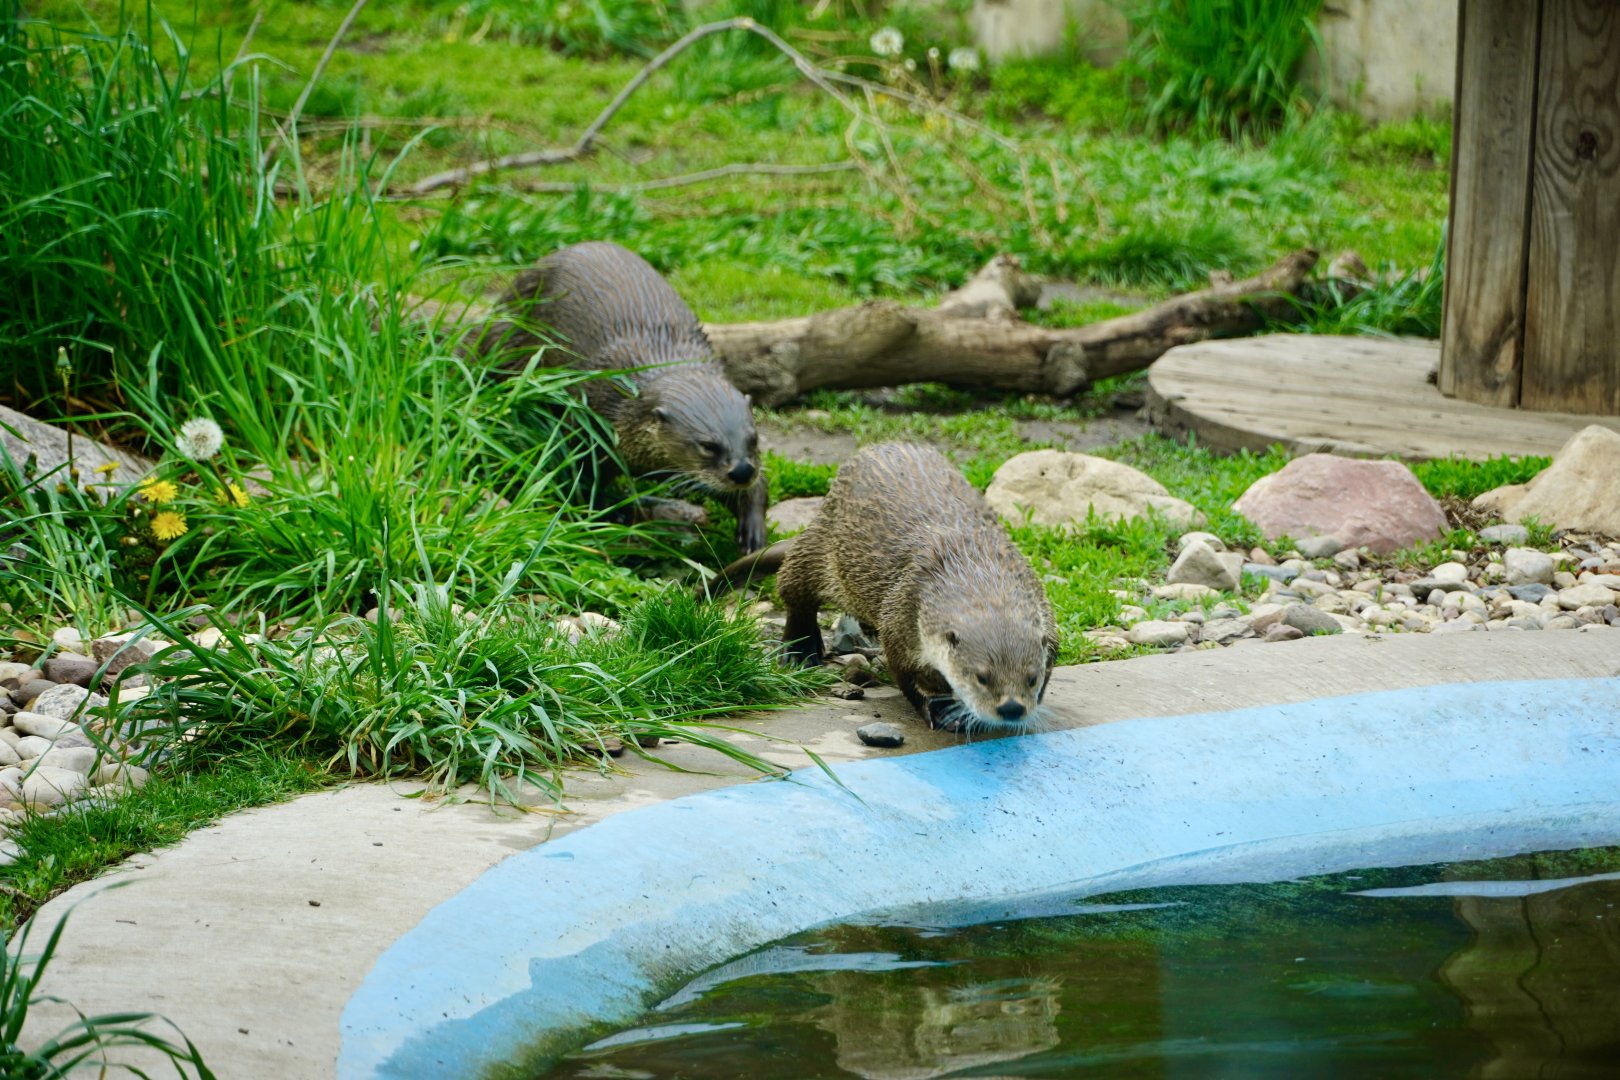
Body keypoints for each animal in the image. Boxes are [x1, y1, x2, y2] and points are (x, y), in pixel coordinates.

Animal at [479, 242, 767, 552]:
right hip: (508, 335)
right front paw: (600, 516)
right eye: (707, 445)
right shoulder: (588, 424)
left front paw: (753, 527)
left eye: (753, 439)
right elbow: (582, 479)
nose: (742, 471)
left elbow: (758, 486)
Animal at [711, 442, 1057, 732]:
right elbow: (908, 678)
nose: (1011, 708)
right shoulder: (902, 619)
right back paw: (800, 651)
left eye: (1031, 678)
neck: (975, 568)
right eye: (981, 677)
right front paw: (939, 710)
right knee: (795, 592)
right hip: (819, 551)